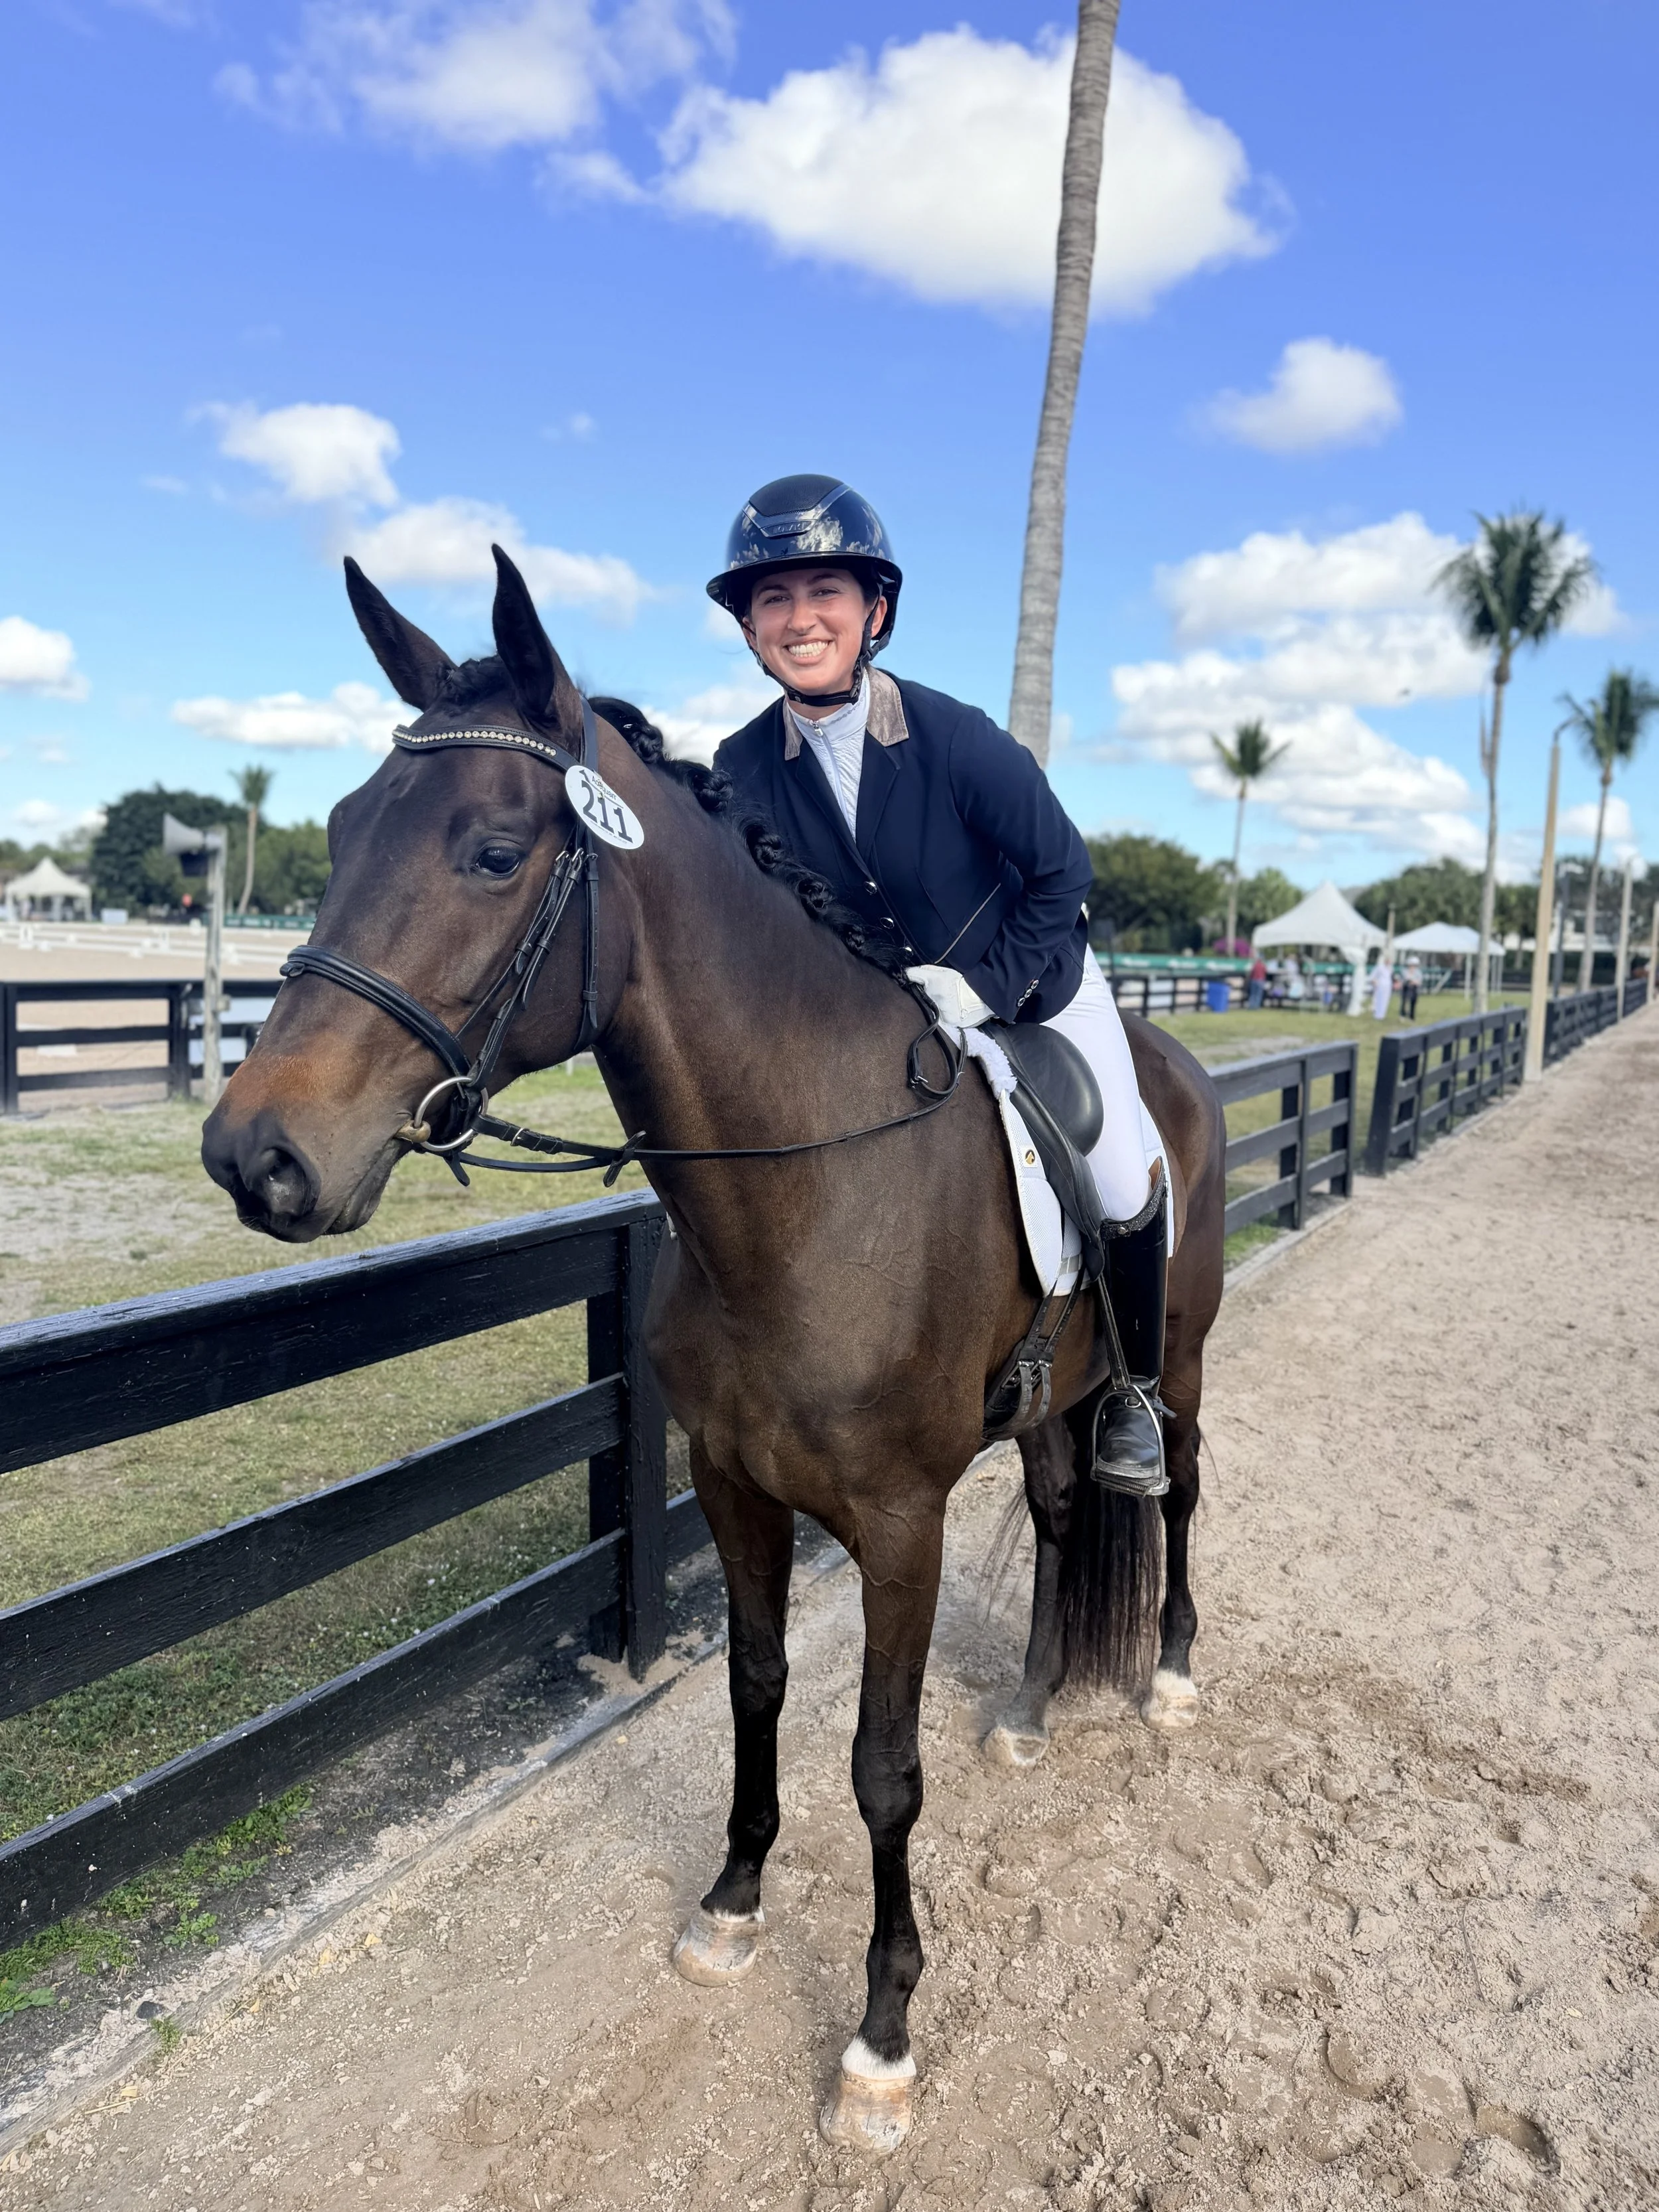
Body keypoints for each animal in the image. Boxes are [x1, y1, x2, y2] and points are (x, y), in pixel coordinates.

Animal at [201, 549, 1226, 2156]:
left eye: (494, 850)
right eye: (345, 828)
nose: (257, 1155)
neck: (800, 1187)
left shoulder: (900, 1523)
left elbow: (881, 1770)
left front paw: (880, 2035)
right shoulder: (733, 1483)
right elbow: (755, 1690)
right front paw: (735, 1903)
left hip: (1171, 1368)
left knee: (1172, 1492)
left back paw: (1170, 1672)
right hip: (1046, 1405)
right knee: (1068, 1513)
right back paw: (1034, 1703)